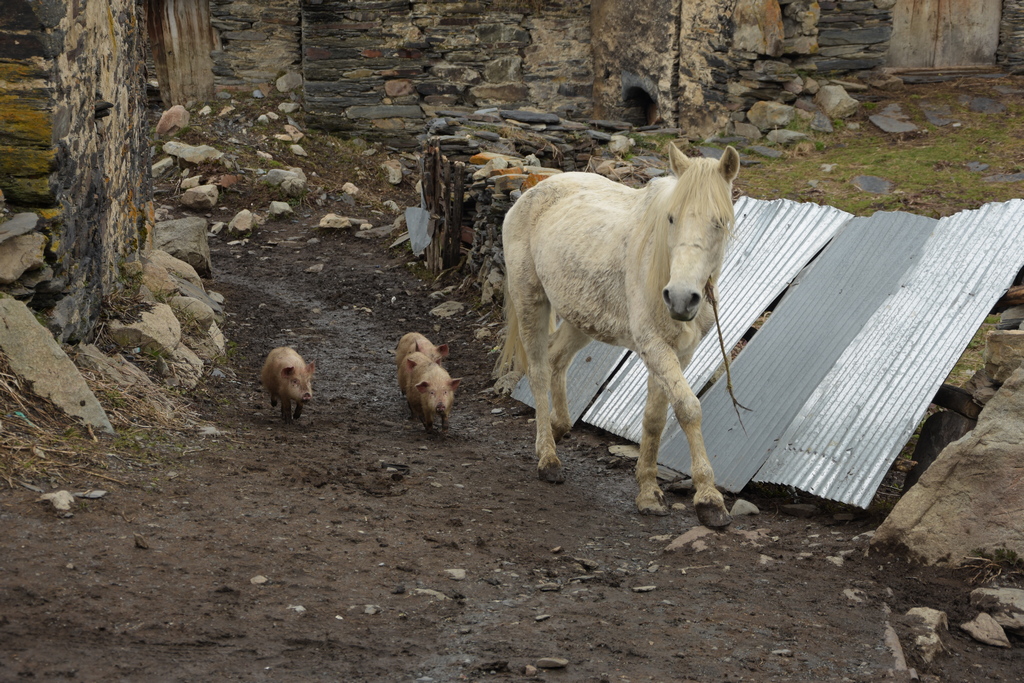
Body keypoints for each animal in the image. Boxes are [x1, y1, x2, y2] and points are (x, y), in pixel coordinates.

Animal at [493, 143, 737, 528]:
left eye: (719, 222)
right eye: (671, 218)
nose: (680, 298)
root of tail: (532, 191)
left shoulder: (677, 353)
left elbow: (655, 418)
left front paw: (648, 492)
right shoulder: (654, 347)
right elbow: (688, 409)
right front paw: (709, 500)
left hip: (581, 318)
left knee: (557, 360)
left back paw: (558, 428)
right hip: (531, 300)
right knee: (539, 371)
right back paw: (548, 458)